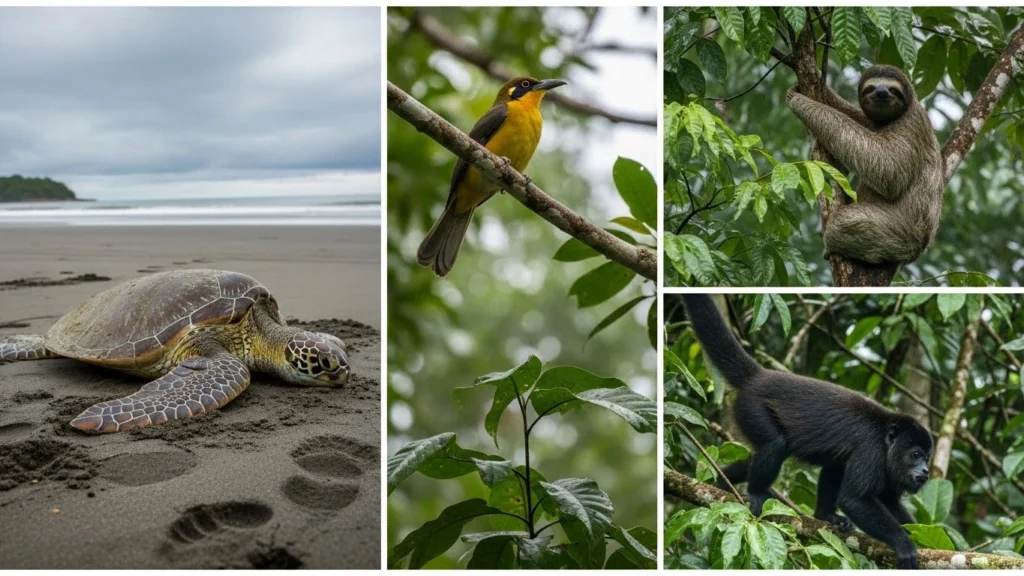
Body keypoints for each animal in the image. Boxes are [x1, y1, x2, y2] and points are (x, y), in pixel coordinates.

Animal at [681, 294, 933, 569]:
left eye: (927, 457)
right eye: (916, 455)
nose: (926, 471)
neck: (887, 439)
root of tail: (758, 376)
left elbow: (890, 500)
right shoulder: (871, 449)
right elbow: (854, 500)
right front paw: (903, 543)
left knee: (832, 463)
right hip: (750, 408)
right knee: (776, 444)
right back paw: (756, 492)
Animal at [786, 65, 944, 266]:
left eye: (893, 89)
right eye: (871, 87)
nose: (882, 92)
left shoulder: (911, 125)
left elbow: (889, 168)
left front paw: (799, 100)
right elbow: (861, 120)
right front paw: (821, 89)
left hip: (901, 230)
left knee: (843, 223)